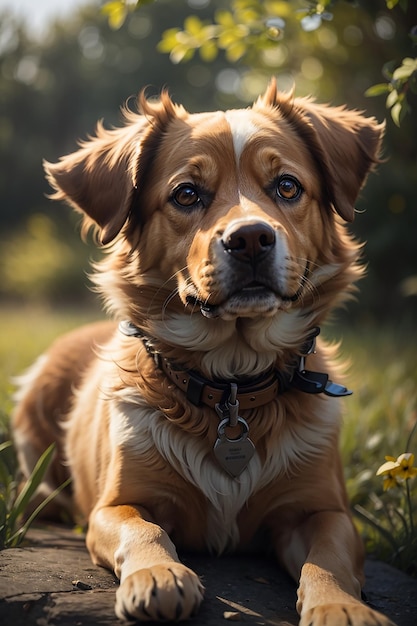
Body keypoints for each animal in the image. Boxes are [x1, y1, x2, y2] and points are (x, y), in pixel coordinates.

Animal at [12, 79, 390, 624]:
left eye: (287, 187)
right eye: (187, 194)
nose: (251, 237)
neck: (231, 381)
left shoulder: (323, 510)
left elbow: (330, 559)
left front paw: (340, 605)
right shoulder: (114, 504)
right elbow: (142, 528)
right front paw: (158, 575)